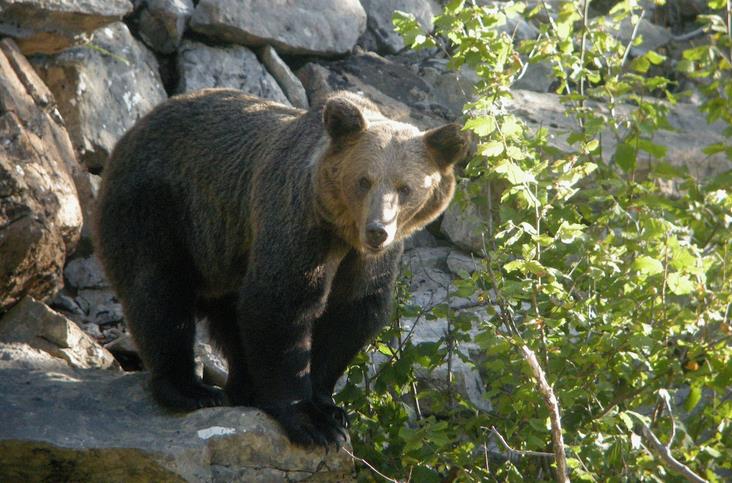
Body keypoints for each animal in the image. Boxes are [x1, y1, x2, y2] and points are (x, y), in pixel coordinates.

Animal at [94, 89, 468, 448]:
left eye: (405, 188)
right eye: (364, 180)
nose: (378, 230)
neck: (342, 232)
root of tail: (135, 128)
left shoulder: (370, 261)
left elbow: (351, 315)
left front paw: (329, 407)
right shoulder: (297, 221)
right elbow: (280, 305)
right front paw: (312, 423)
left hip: (225, 252)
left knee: (228, 316)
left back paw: (243, 389)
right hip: (160, 208)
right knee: (159, 294)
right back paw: (191, 390)